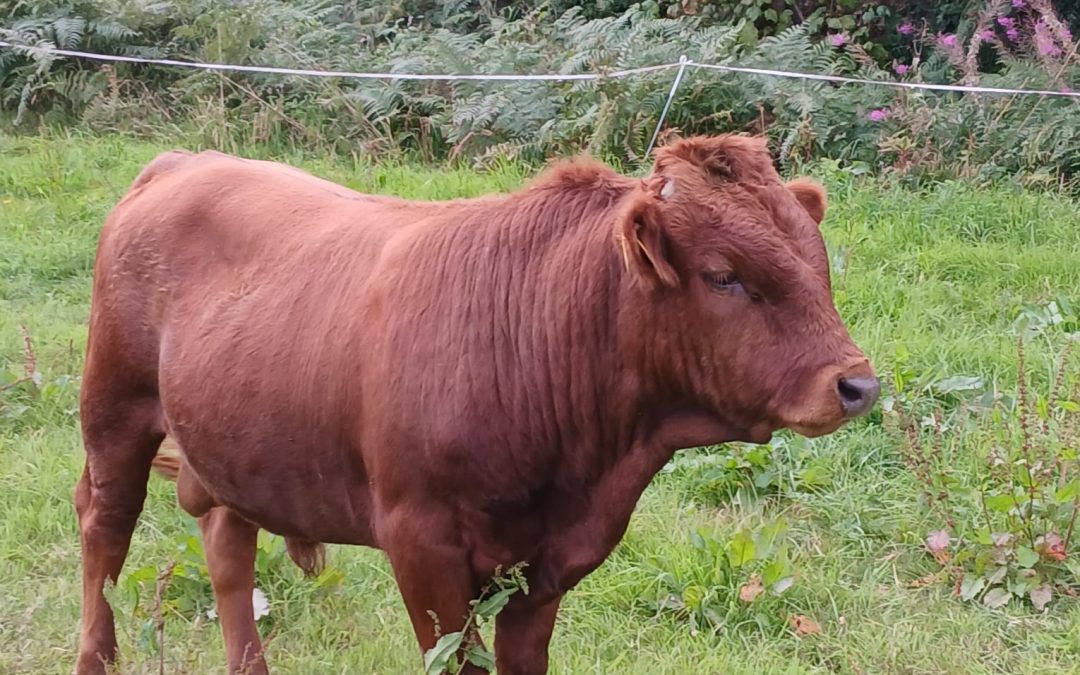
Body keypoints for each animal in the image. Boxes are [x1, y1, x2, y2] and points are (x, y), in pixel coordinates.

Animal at [73, 134, 879, 675]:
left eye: (819, 263)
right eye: (723, 276)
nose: (858, 384)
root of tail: (183, 161)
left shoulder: (550, 565)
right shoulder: (421, 548)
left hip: (235, 438)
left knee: (227, 546)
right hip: (114, 411)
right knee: (103, 533)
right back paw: (96, 654)